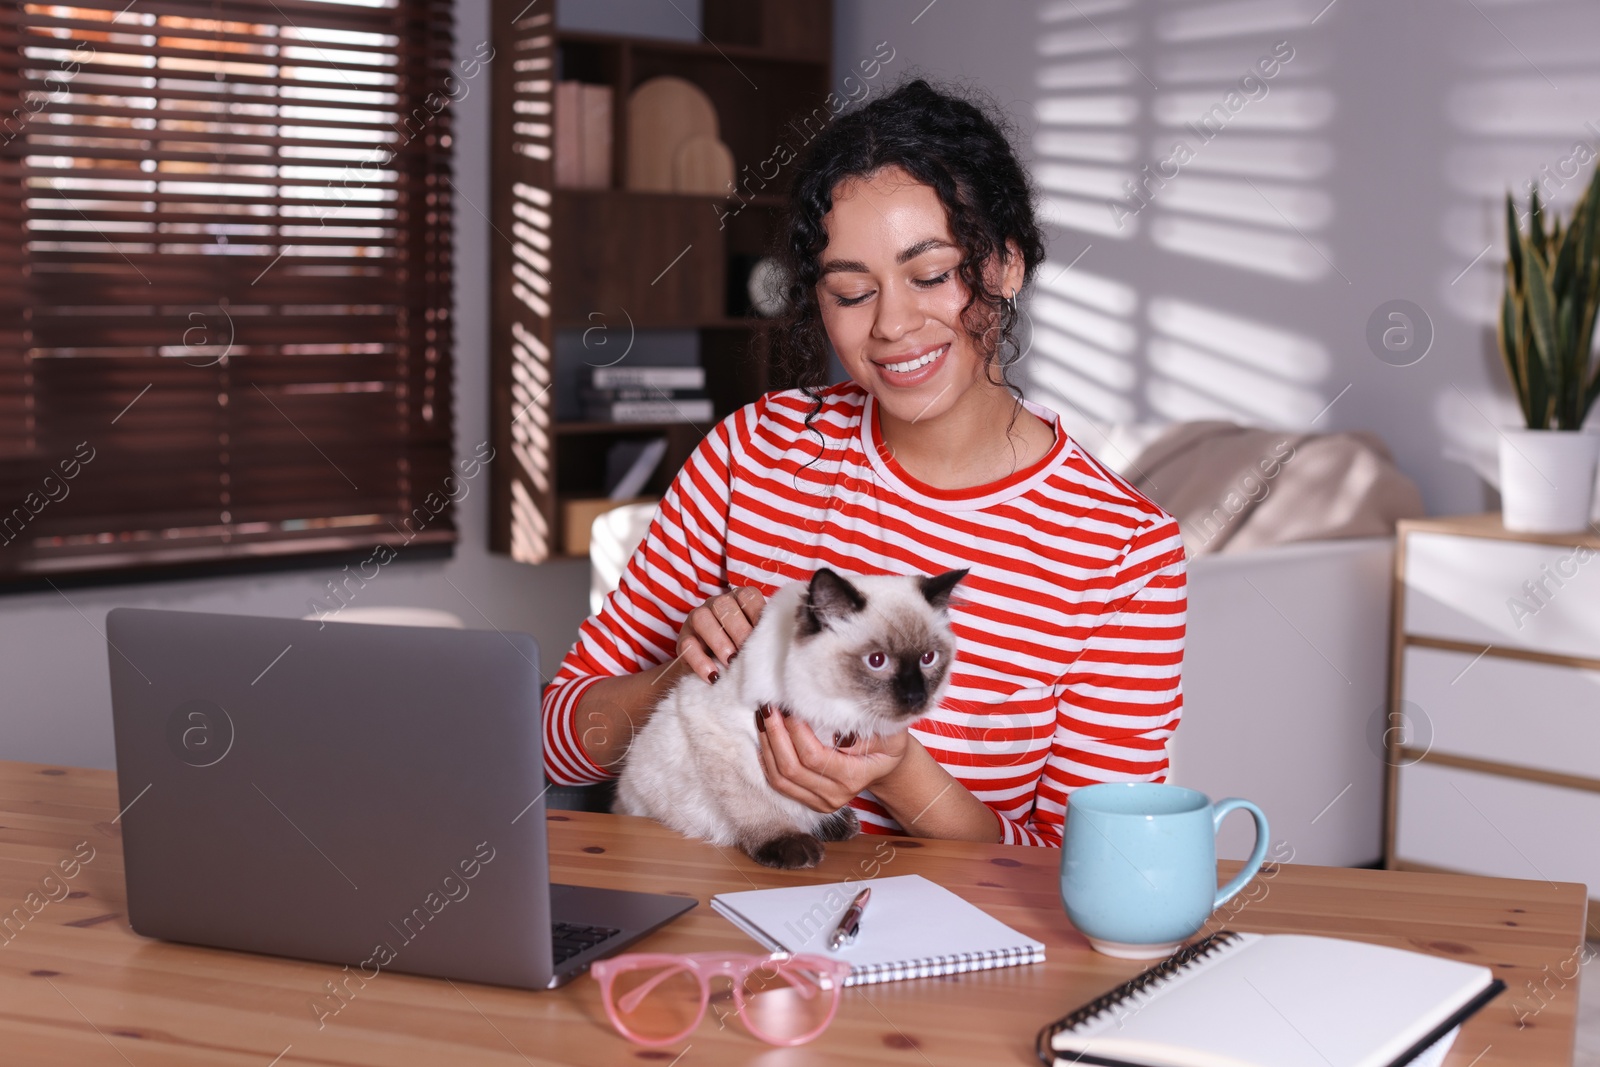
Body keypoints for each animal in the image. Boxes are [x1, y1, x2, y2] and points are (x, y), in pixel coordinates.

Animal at [611, 566, 960, 870]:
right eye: (877, 661)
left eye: (928, 658)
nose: (916, 697)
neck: (831, 710)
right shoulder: (723, 741)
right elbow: (755, 804)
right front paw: (788, 845)